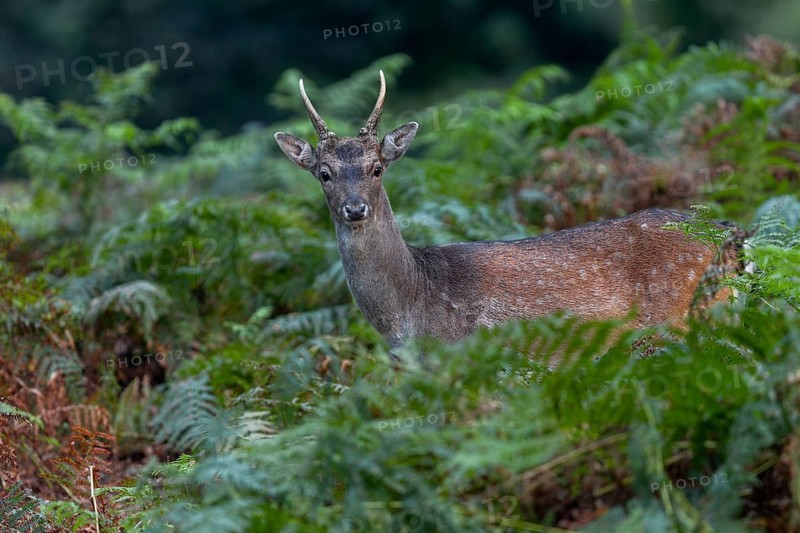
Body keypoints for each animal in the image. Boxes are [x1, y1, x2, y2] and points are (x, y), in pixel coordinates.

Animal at [274, 71, 741, 363]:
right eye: (324, 173)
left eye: (377, 168)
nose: (355, 208)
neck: (411, 316)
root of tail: (731, 236)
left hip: (685, 317)